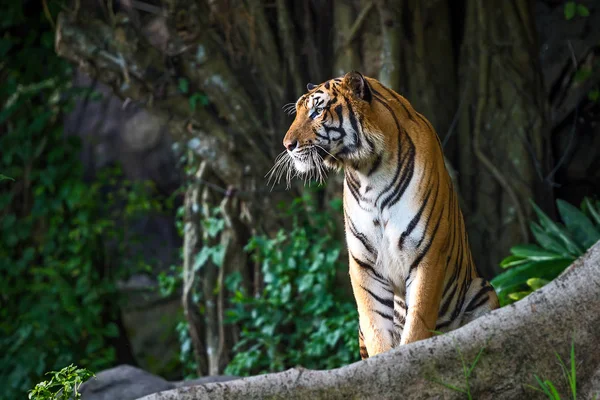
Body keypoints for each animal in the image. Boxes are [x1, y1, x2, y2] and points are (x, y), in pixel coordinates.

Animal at [274, 71, 500, 360]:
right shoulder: (364, 262)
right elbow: (375, 326)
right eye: (299, 112)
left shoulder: (427, 254)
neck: (368, 172)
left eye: (317, 111)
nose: (287, 145)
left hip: (483, 291)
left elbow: (417, 325)